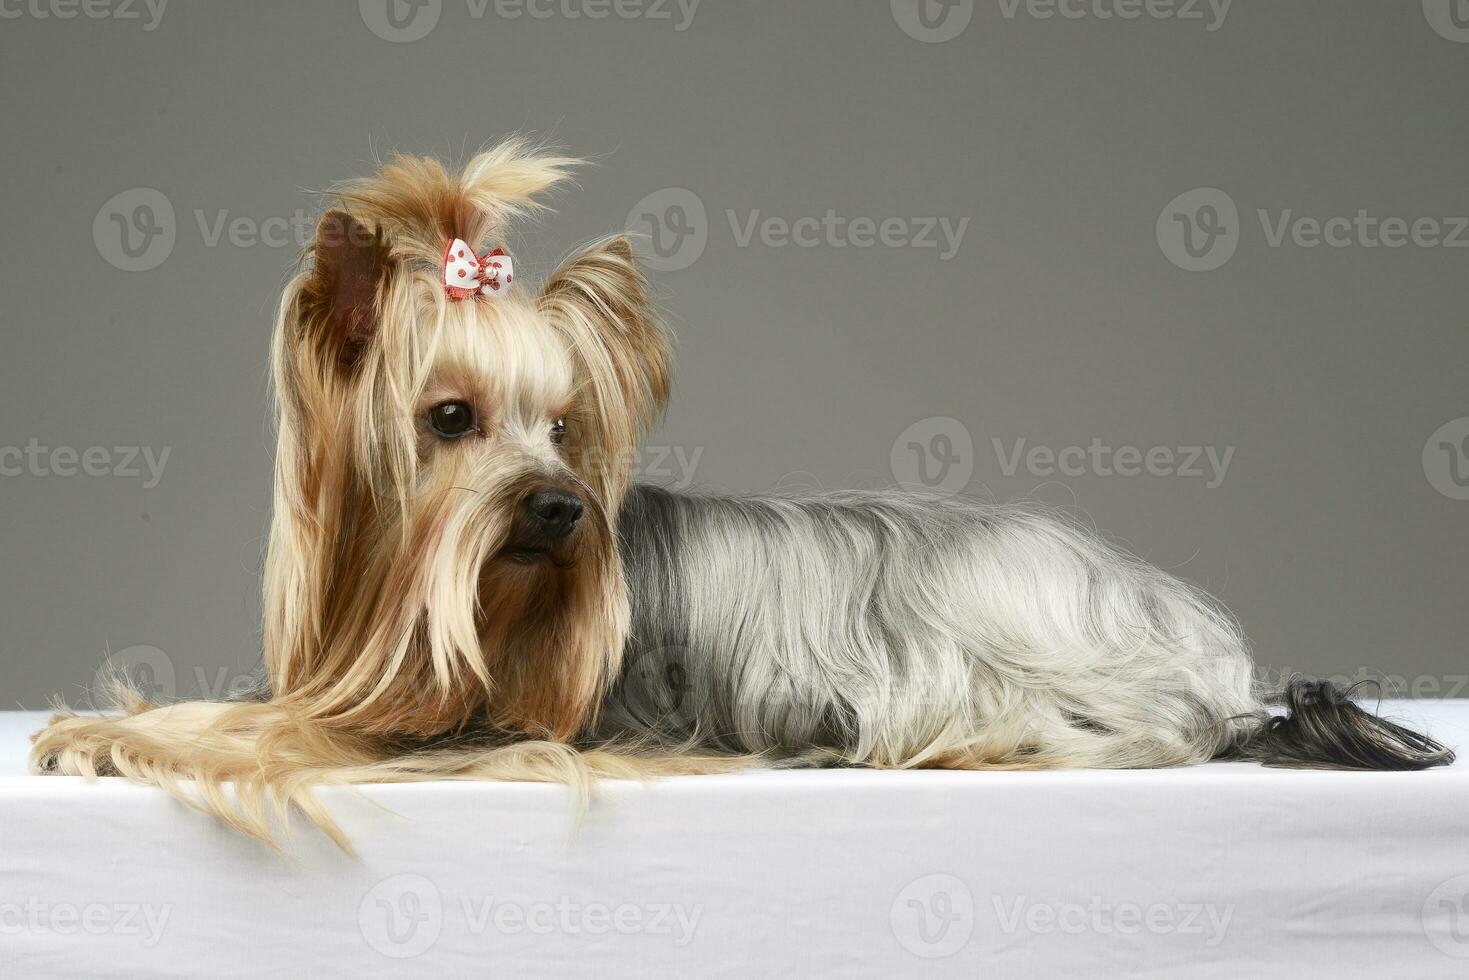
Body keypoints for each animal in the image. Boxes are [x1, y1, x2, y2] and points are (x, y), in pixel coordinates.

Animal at [28, 139, 1451, 852]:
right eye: (448, 419)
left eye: (564, 426)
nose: (562, 510)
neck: (425, 593)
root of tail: (1192, 630)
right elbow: (252, 709)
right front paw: (96, 724)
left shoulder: (478, 726)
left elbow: (274, 739)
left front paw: (137, 736)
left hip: (1051, 679)